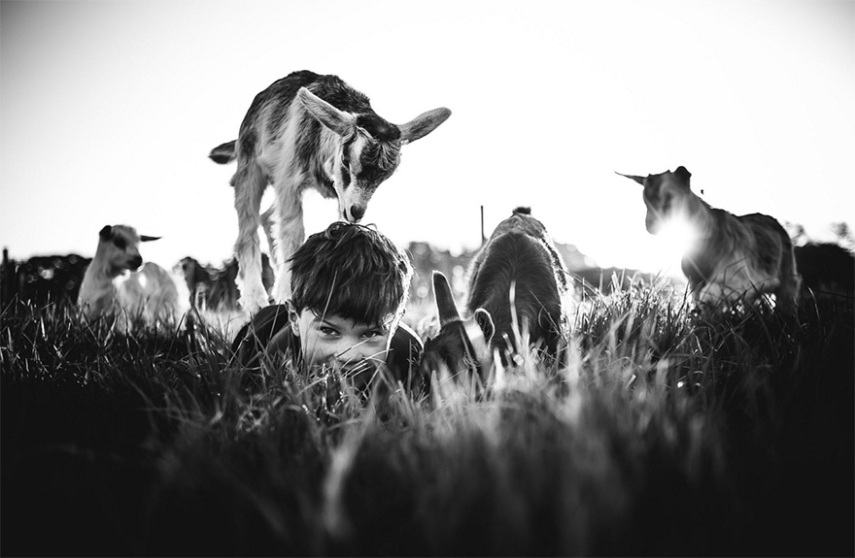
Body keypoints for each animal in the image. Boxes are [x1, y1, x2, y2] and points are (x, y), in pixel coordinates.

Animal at [210, 69, 452, 312]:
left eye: (386, 177)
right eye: (346, 159)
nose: (357, 212)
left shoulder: (340, 198)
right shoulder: (288, 180)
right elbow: (292, 231)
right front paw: (288, 293)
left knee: (267, 217)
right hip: (249, 166)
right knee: (247, 229)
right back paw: (255, 299)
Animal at [616, 168, 804, 312]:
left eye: (669, 196)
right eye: (645, 200)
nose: (651, 225)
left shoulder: (737, 279)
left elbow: (712, 294)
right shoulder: (694, 283)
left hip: (788, 276)